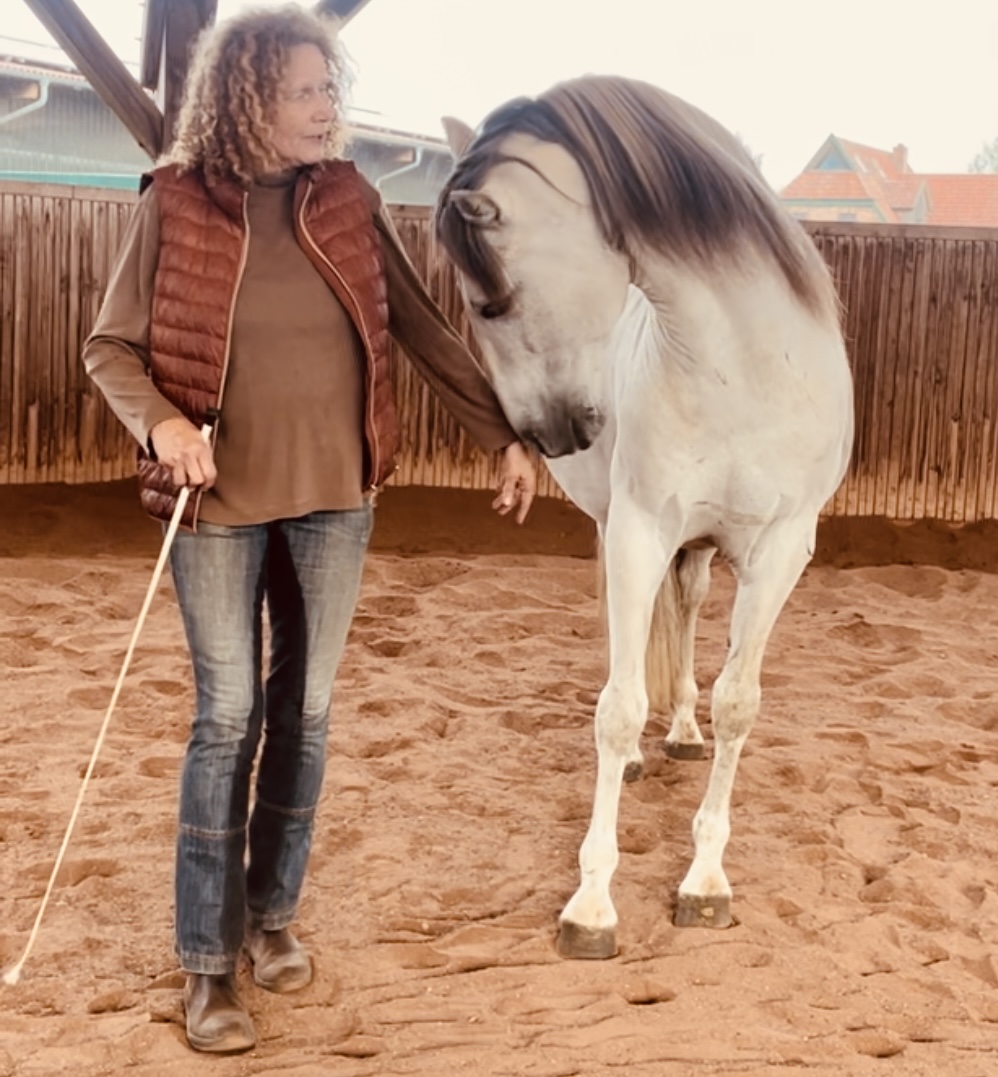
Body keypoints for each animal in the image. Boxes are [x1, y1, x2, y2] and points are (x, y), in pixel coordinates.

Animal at [435, 75, 854, 960]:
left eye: (490, 303)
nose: (547, 433)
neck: (743, 365)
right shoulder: (636, 533)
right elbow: (619, 707)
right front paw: (591, 903)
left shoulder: (780, 554)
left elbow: (738, 704)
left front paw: (705, 881)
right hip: (620, 530)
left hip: (701, 548)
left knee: (690, 615)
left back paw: (685, 731)